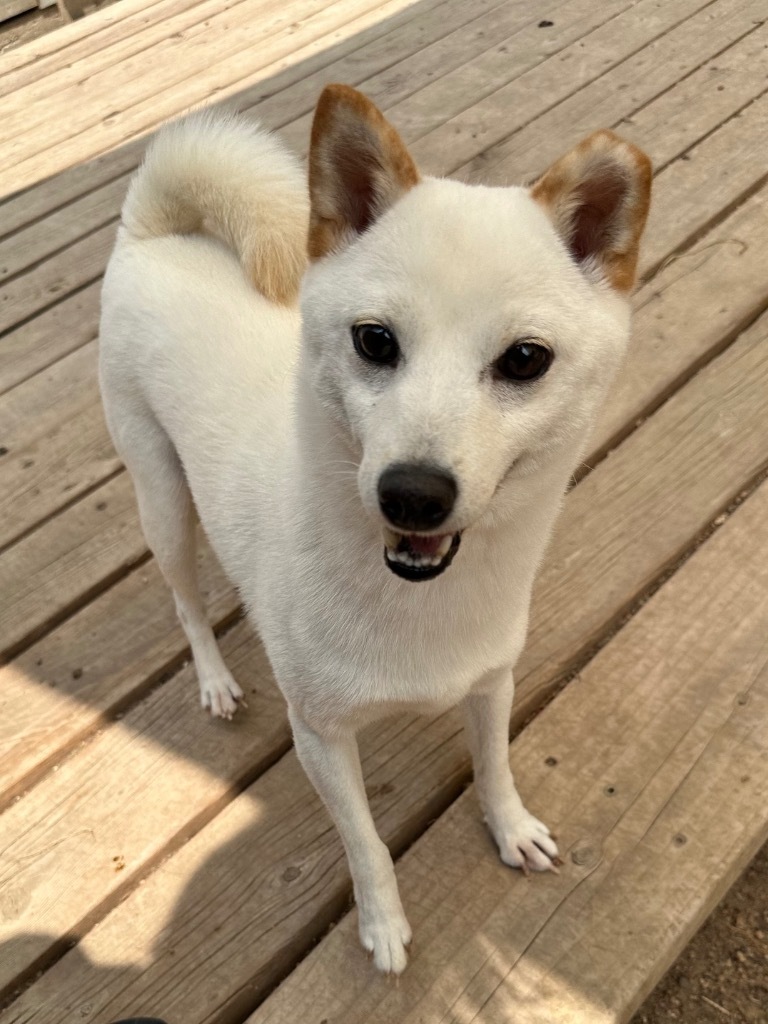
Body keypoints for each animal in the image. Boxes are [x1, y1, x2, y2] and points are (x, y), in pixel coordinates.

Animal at [99, 83, 651, 970]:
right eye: (374, 341)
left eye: (525, 360)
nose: (413, 495)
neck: (423, 604)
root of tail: (156, 230)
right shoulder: (321, 736)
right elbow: (365, 845)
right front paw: (383, 925)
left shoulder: (492, 682)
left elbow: (494, 766)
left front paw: (512, 828)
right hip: (162, 498)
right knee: (186, 603)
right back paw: (214, 680)